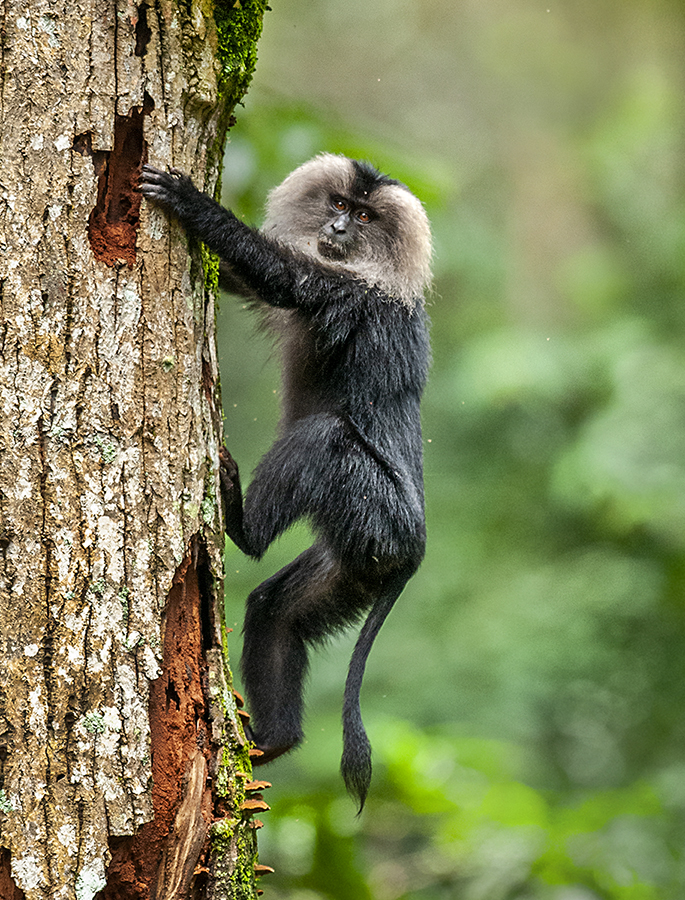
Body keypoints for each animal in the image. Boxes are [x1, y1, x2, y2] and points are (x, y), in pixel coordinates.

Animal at [140, 154, 432, 810]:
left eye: (366, 217)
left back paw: (240, 522)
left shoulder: (352, 296)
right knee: (276, 611)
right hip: (353, 564)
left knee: (321, 439)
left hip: (372, 509)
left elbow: (282, 278)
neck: (367, 267)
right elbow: (246, 281)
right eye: (340, 207)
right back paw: (270, 744)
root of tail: (415, 551)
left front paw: (190, 202)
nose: (340, 230)